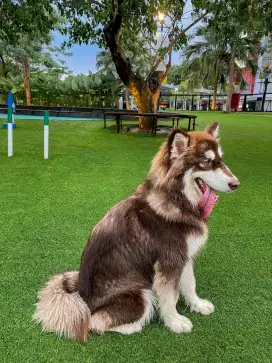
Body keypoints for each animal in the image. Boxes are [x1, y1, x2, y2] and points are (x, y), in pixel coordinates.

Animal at [33, 122, 240, 342]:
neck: (176, 200)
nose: (236, 184)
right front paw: (174, 322)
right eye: (206, 162)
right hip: (141, 293)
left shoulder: (185, 256)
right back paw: (132, 327)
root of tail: (80, 295)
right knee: (94, 321)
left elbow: (190, 284)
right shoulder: (169, 262)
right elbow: (170, 297)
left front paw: (197, 304)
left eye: (220, 159)